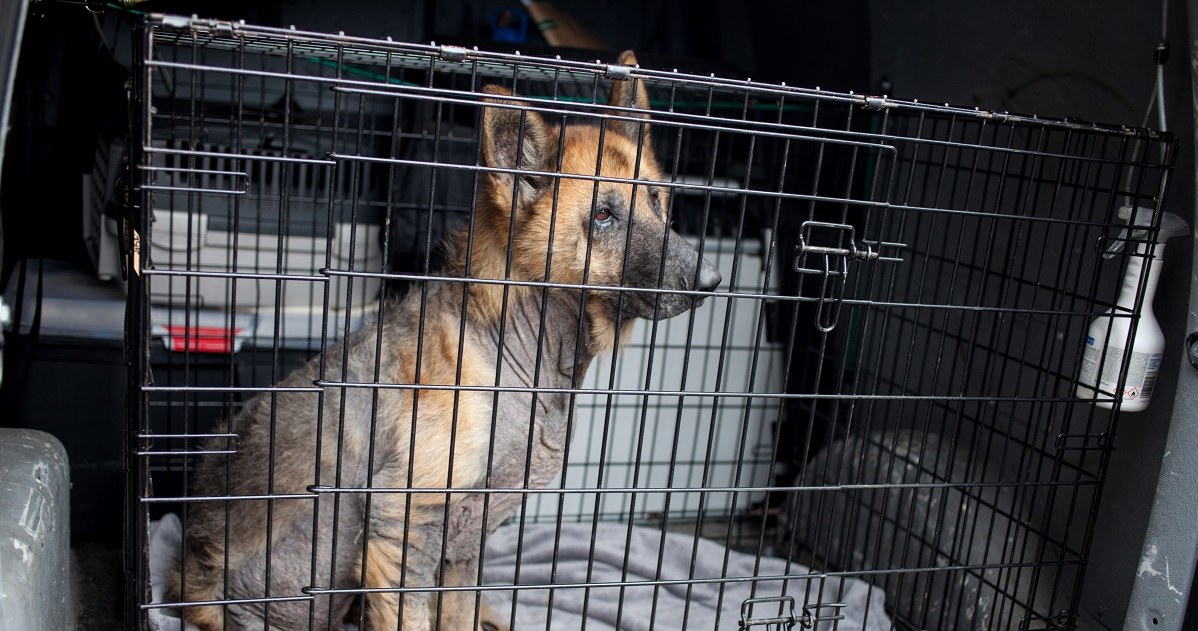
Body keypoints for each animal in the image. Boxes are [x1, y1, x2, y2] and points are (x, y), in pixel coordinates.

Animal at [174, 50, 718, 631]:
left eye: (658, 203)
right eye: (602, 215)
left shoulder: (461, 550)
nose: (712, 280)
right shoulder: (402, 536)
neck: (516, 354)